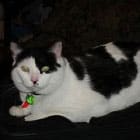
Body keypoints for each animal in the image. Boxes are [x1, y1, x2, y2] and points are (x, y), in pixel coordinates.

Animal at [9, 41, 140, 122]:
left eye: (45, 69)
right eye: (25, 69)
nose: (34, 80)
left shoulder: (88, 111)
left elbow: (46, 114)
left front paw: (30, 116)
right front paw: (19, 109)